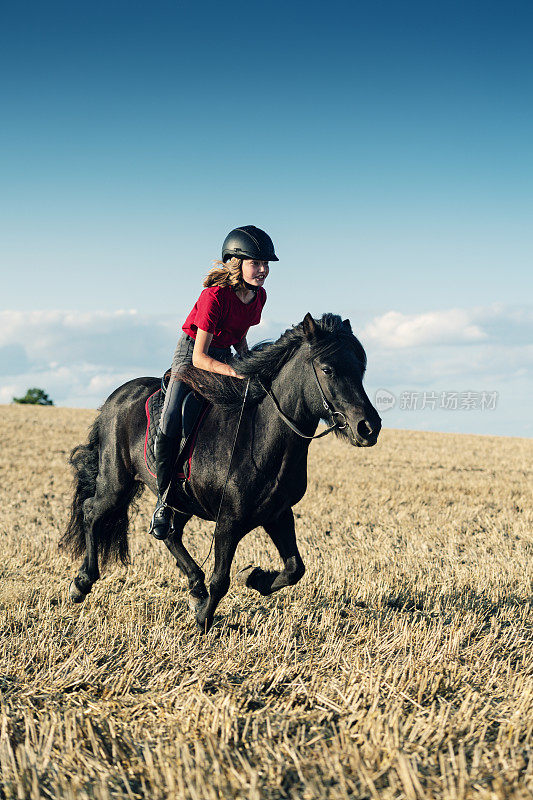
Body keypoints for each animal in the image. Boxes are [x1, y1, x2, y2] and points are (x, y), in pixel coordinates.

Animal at [61, 312, 378, 632]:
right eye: (327, 369)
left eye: (361, 369)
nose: (369, 427)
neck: (261, 435)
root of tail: (117, 396)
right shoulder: (229, 520)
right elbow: (221, 580)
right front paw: (204, 620)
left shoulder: (278, 514)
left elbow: (294, 569)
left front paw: (253, 577)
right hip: (116, 483)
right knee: (92, 511)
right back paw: (82, 583)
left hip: (180, 499)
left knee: (169, 534)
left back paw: (195, 588)